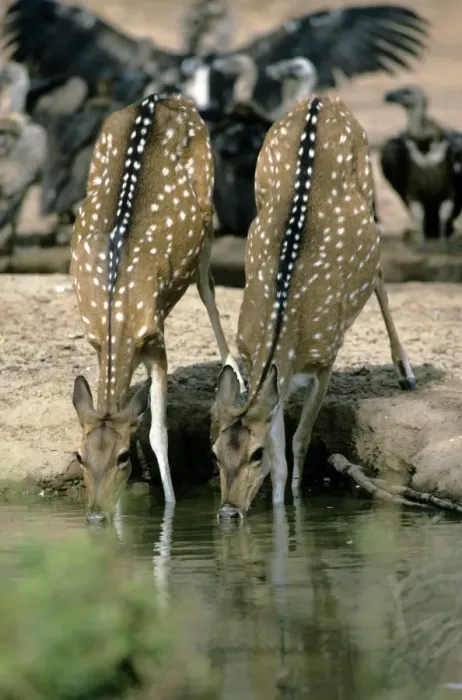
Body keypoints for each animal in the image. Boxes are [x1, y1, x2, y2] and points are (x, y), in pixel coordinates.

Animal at [70, 91, 245, 523]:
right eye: (79, 456)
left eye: (120, 457)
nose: (94, 516)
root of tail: (165, 96)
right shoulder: (95, 339)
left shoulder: (156, 338)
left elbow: (157, 433)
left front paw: (169, 509)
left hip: (207, 209)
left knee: (208, 287)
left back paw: (235, 369)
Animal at [211, 94, 416, 520]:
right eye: (215, 453)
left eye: (254, 454)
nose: (228, 512)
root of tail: (323, 99)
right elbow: (280, 455)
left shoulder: (326, 357)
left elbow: (300, 441)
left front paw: (297, 505)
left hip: (369, 186)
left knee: (379, 275)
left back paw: (406, 372)